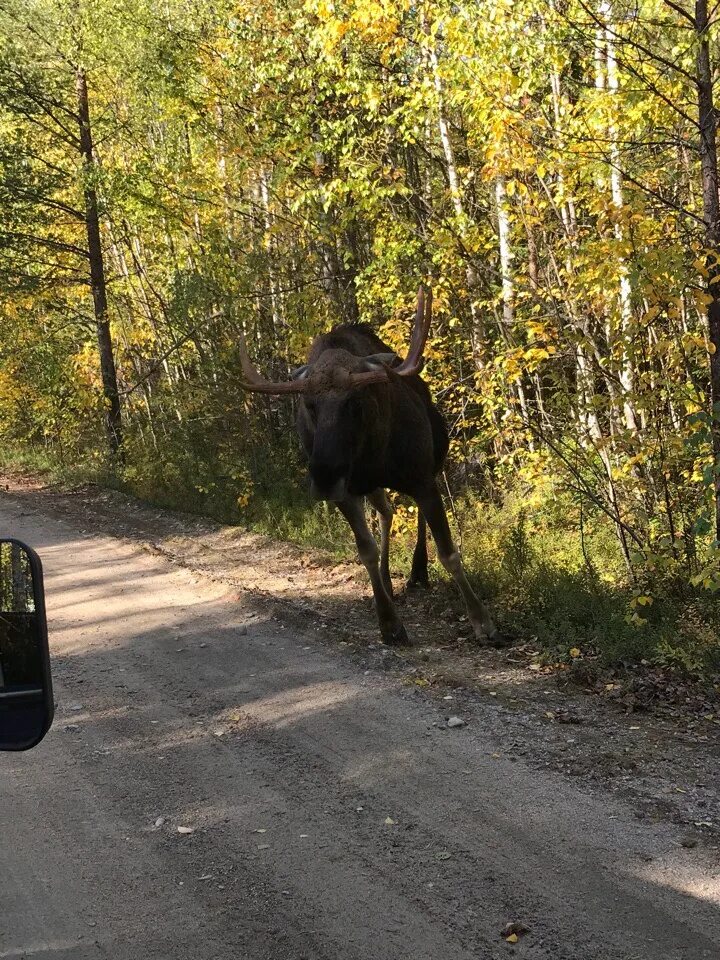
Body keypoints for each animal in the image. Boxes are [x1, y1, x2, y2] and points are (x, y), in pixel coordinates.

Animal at [236, 286, 500, 644]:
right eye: (309, 404)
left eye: (355, 402)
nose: (323, 476)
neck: (371, 453)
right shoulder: (347, 491)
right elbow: (367, 550)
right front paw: (388, 622)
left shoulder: (421, 478)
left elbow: (449, 553)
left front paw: (482, 622)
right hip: (371, 486)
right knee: (387, 511)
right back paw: (389, 581)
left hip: (430, 466)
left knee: (409, 516)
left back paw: (418, 571)